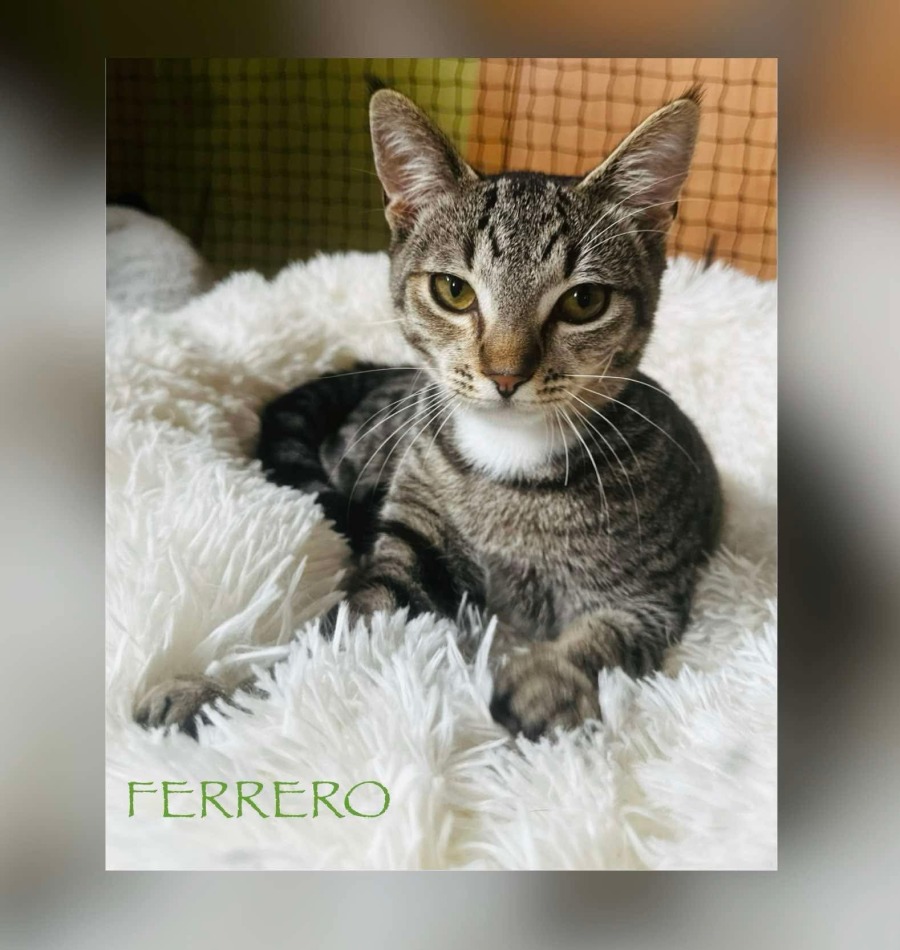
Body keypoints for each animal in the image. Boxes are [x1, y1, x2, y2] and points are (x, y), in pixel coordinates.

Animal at [136, 85, 722, 741]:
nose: (506, 374)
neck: (510, 463)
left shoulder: (652, 595)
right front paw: (219, 692)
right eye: (454, 291)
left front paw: (549, 682)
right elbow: (333, 631)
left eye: (584, 301)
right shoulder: (408, 549)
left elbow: (604, 639)